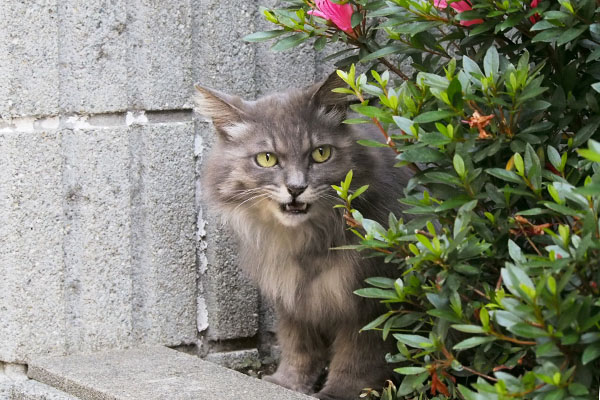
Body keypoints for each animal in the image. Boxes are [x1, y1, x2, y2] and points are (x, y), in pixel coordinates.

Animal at [195, 72, 414, 400]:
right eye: (267, 159)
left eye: (321, 153)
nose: (296, 188)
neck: (307, 242)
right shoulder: (292, 294)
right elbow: (298, 346)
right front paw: (287, 384)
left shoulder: (372, 298)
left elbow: (357, 358)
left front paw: (336, 393)